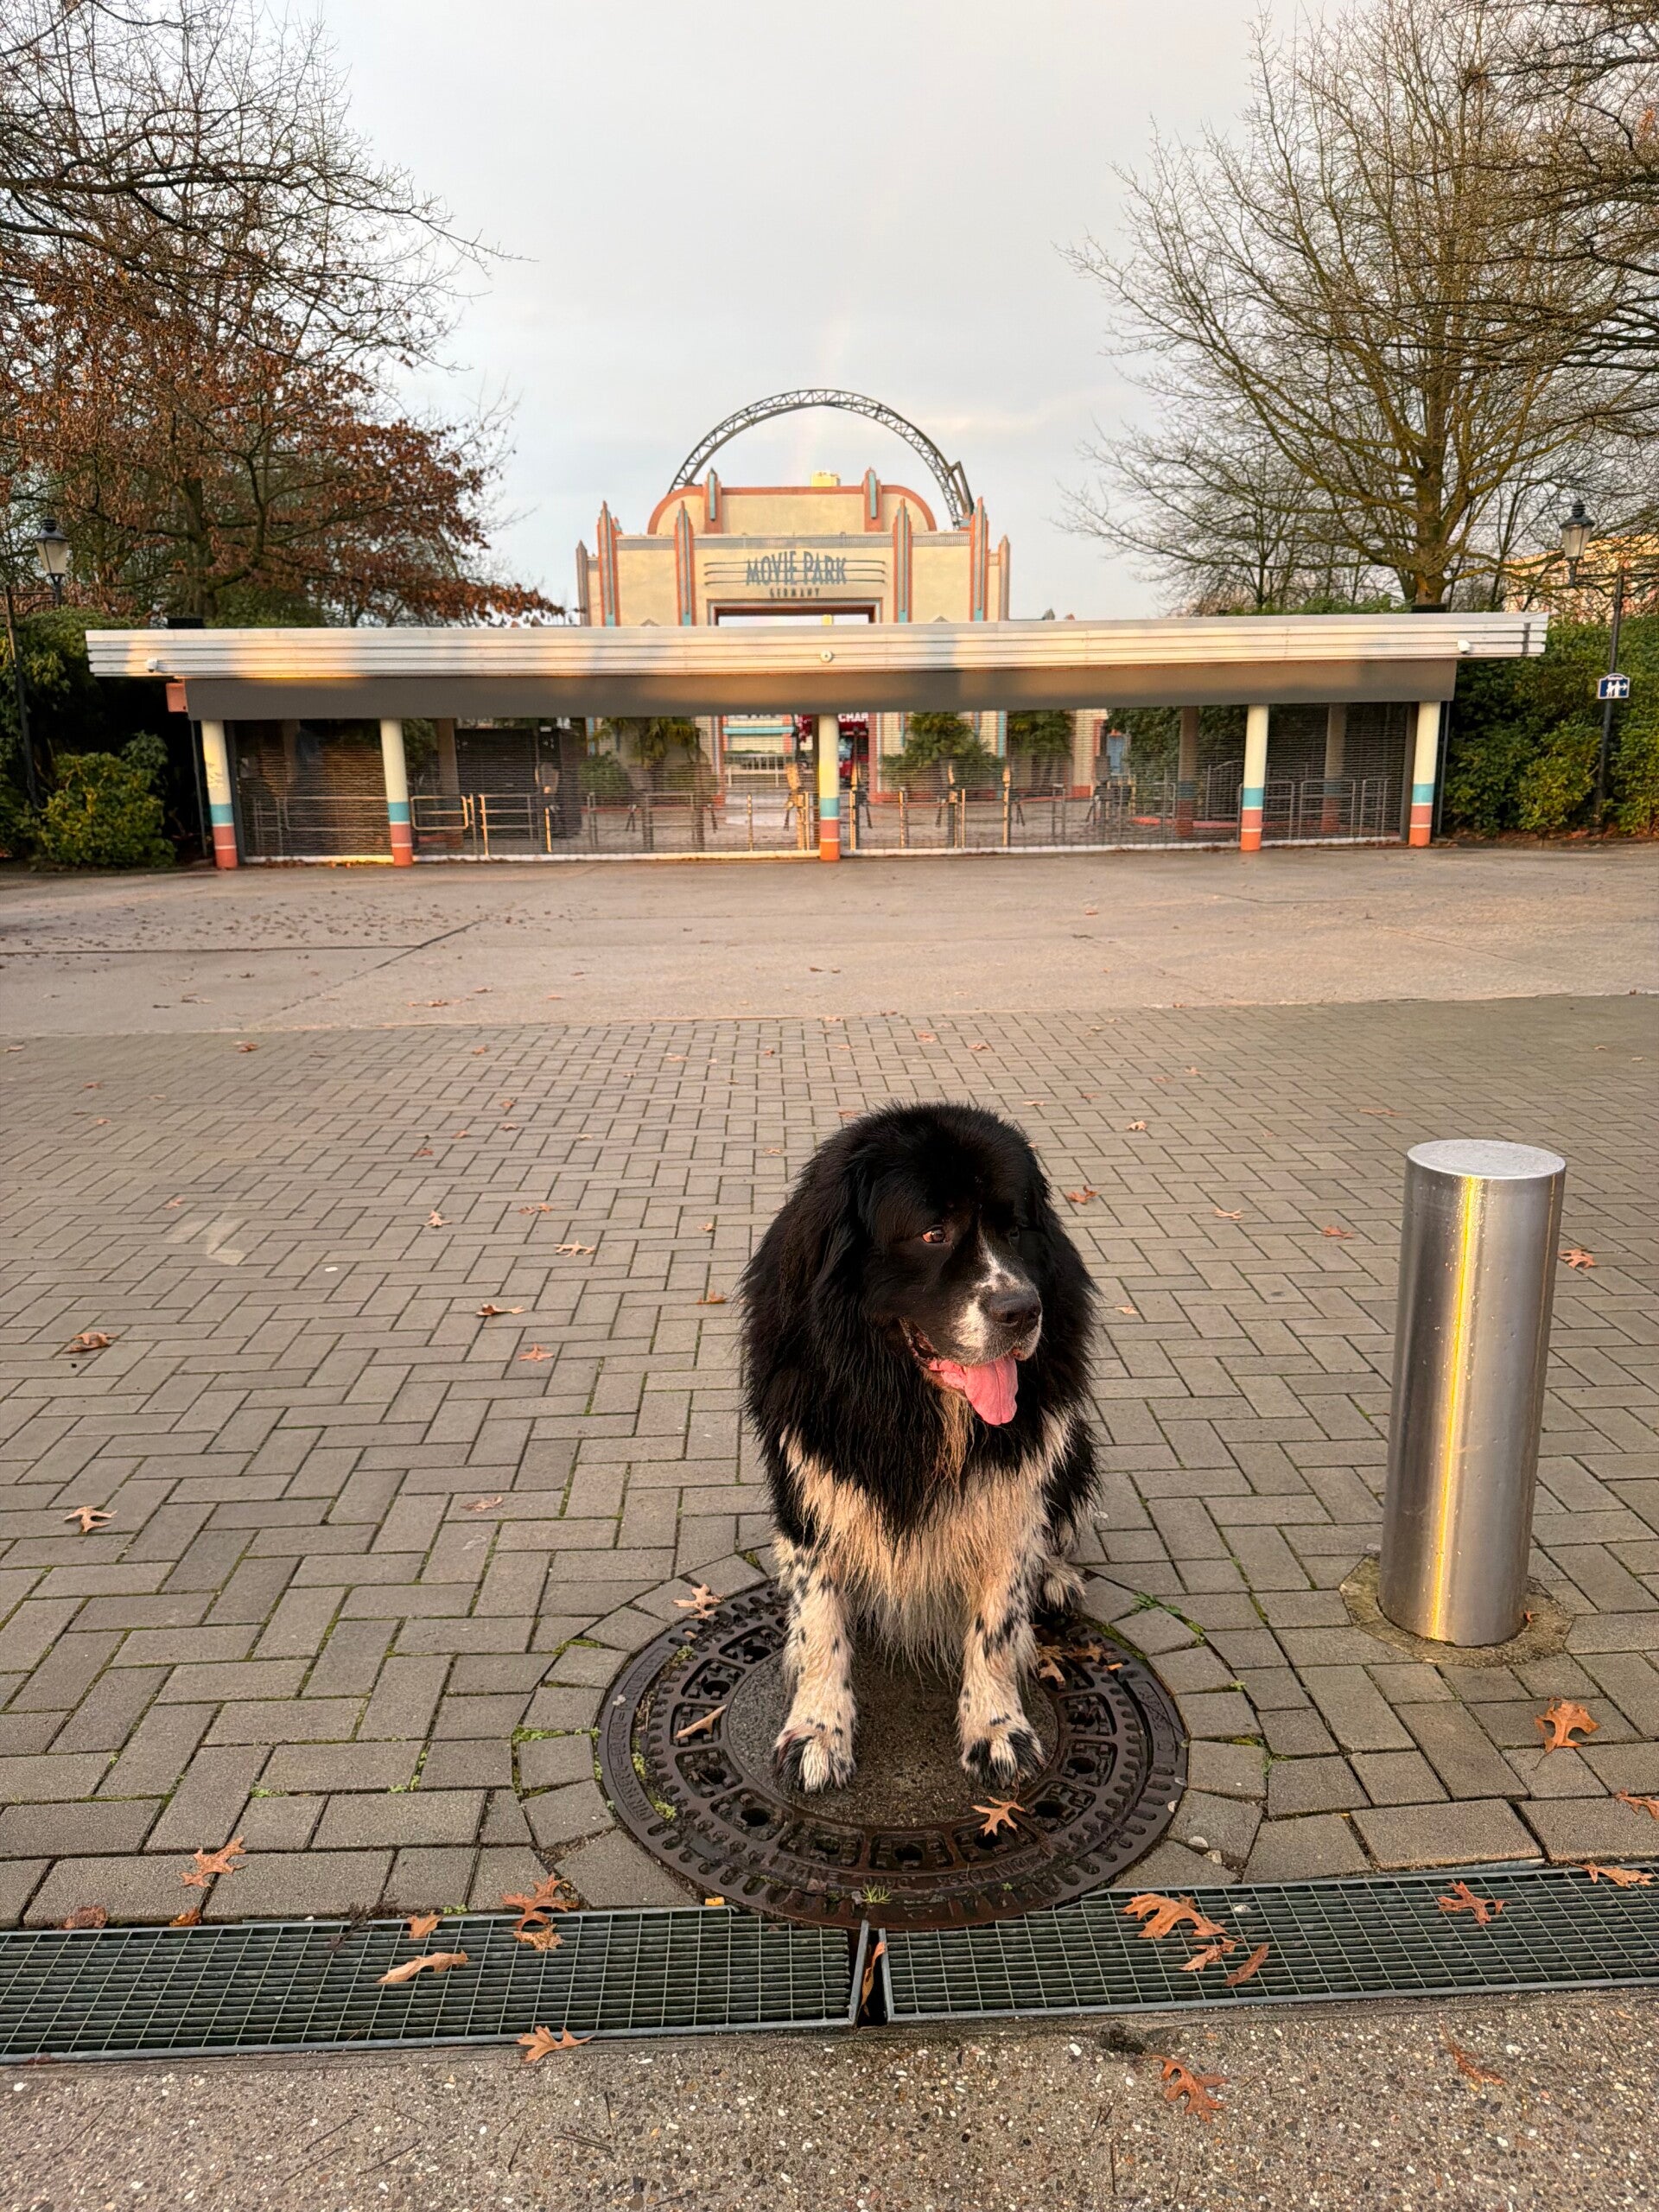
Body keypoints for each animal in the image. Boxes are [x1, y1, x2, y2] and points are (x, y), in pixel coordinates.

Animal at [740, 1102, 1097, 1793]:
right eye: (934, 1234)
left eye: (1016, 1231)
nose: (1022, 1309)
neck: (908, 1401)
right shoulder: (809, 1481)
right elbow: (819, 1619)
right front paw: (818, 1729)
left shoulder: (1009, 1495)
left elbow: (995, 1624)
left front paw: (996, 1726)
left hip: (1072, 1448)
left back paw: (1057, 1574)